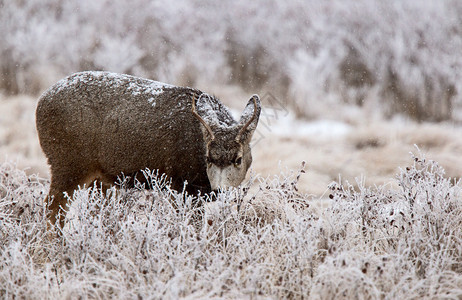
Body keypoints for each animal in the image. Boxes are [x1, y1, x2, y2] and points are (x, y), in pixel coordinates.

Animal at [36, 71, 260, 229]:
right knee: (53, 208)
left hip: (97, 178)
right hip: (68, 162)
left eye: (238, 159)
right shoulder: (179, 184)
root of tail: (40, 102)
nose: (220, 189)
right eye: (209, 158)